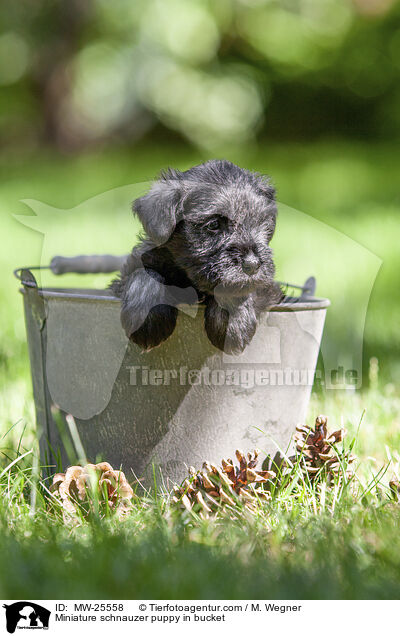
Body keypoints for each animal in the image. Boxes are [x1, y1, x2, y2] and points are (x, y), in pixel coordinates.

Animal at [111, 158, 282, 352]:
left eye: (260, 222)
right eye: (213, 224)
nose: (252, 264)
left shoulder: (268, 287)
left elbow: (236, 287)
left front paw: (232, 325)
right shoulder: (131, 270)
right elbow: (144, 275)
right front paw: (147, 321)